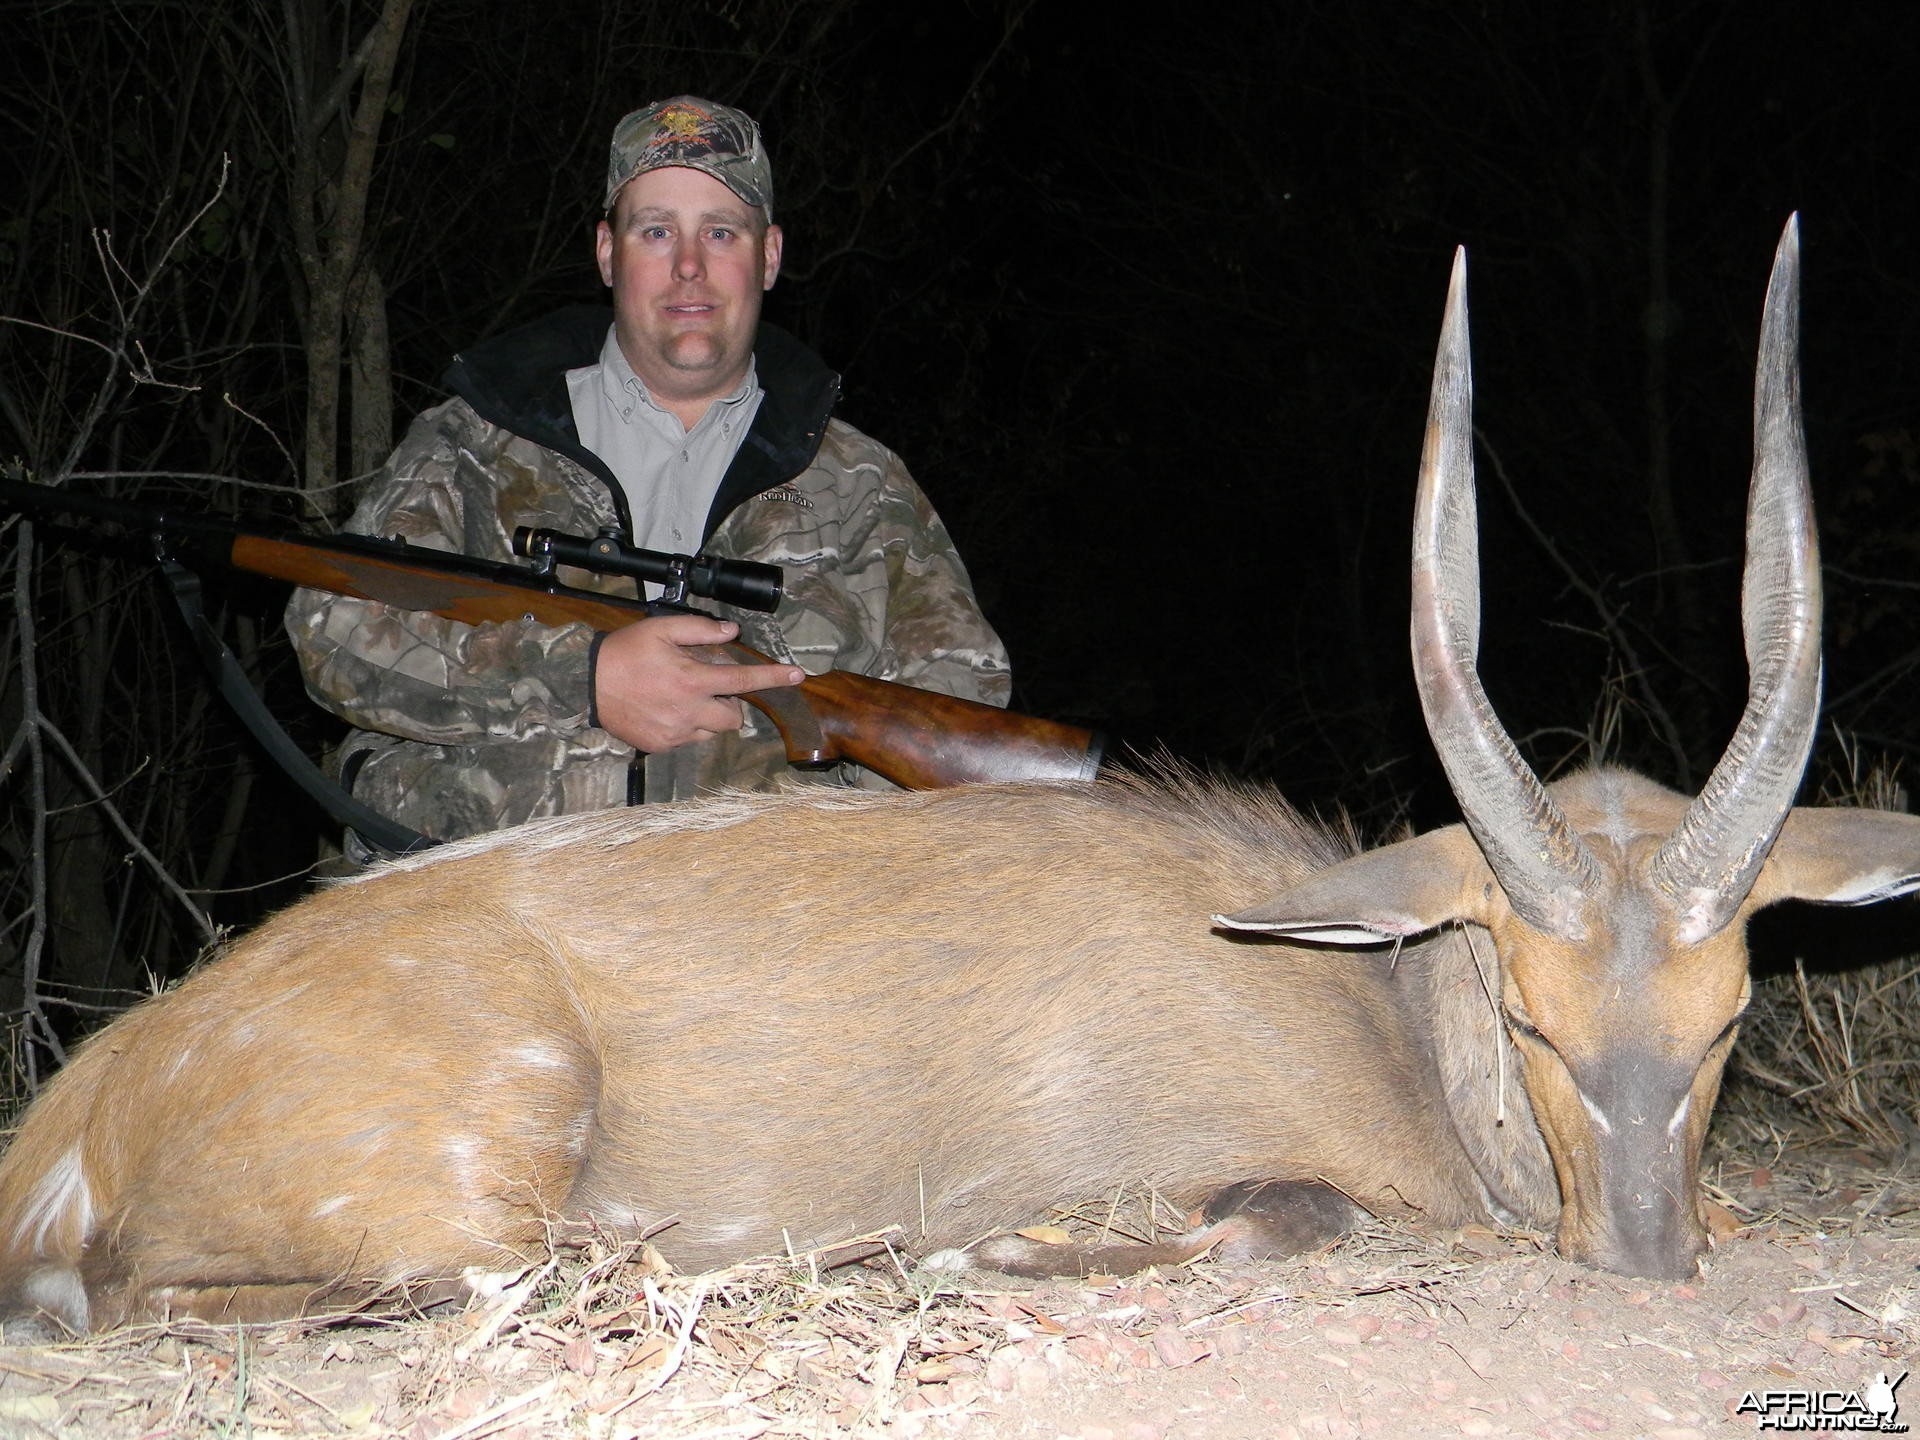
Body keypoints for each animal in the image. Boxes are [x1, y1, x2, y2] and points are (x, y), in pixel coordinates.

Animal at [3, 211, 1920, 1328]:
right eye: (1530, 1014)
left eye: (1734, 1014)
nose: (1651, 1256)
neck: (1380, 1016)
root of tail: (76, 1112)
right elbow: (1269, 1217)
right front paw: (985, 1251)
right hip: (483, 1169)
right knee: (178, 1293)